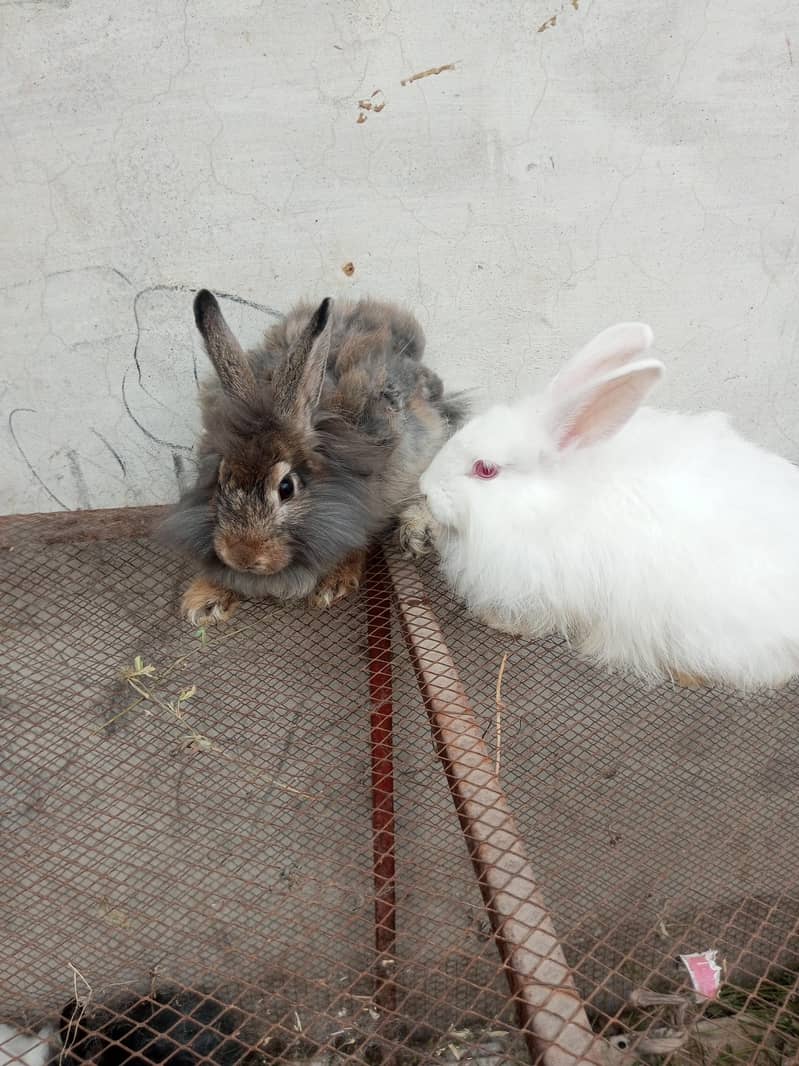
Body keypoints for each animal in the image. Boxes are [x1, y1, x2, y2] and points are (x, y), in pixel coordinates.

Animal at [160, 291, 464, 625]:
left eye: (286, 488)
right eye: (221, 480)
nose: (242, 556)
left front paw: (333, 583)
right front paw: (204, 599)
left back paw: (416, 532)